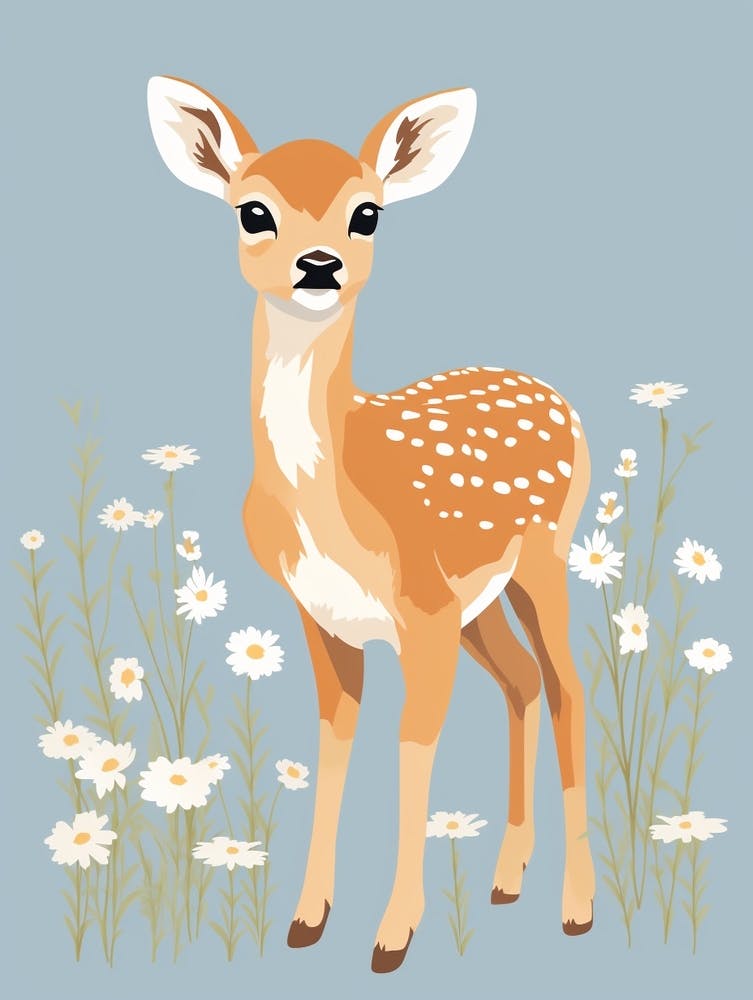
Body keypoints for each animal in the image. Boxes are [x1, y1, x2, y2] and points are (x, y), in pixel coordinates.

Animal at [147, 76, 595, 973]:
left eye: (367, 213)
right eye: (253, 211)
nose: (318, 265)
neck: (334, 502)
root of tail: (557, 397)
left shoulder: (420, 611)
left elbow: (411, 746)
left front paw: (392, 937)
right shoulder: (323, 615)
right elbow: (335, 739)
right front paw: (305, 920)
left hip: (542, 558)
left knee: (567, 687)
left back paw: (576, 907)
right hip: (478, 600)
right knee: (523, 682)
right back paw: (506, 878)